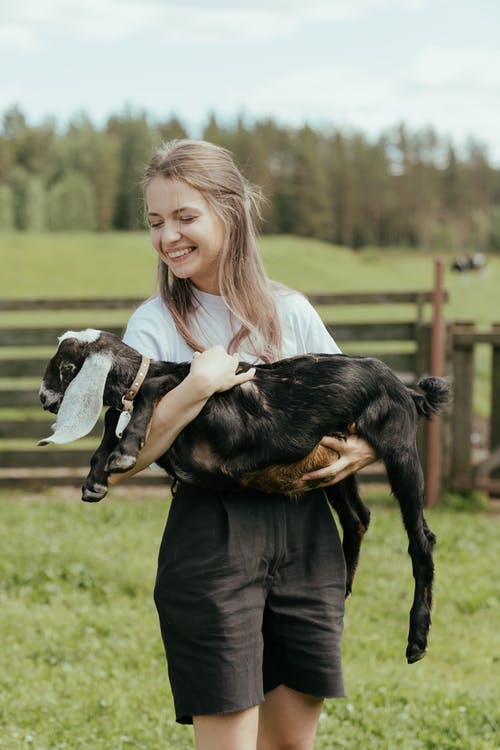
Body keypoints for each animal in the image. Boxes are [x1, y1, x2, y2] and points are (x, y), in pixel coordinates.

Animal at [39, 328, 452, 664]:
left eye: (66, 365)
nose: (43, 398)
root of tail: (406, 390)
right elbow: (112, 418)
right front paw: (96, 478)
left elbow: (145, 397)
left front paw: (125, 450)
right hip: (335, 465)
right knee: (358, 518)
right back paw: (346, 585)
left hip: (399, 451)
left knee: (421, 540)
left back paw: (417, 638)